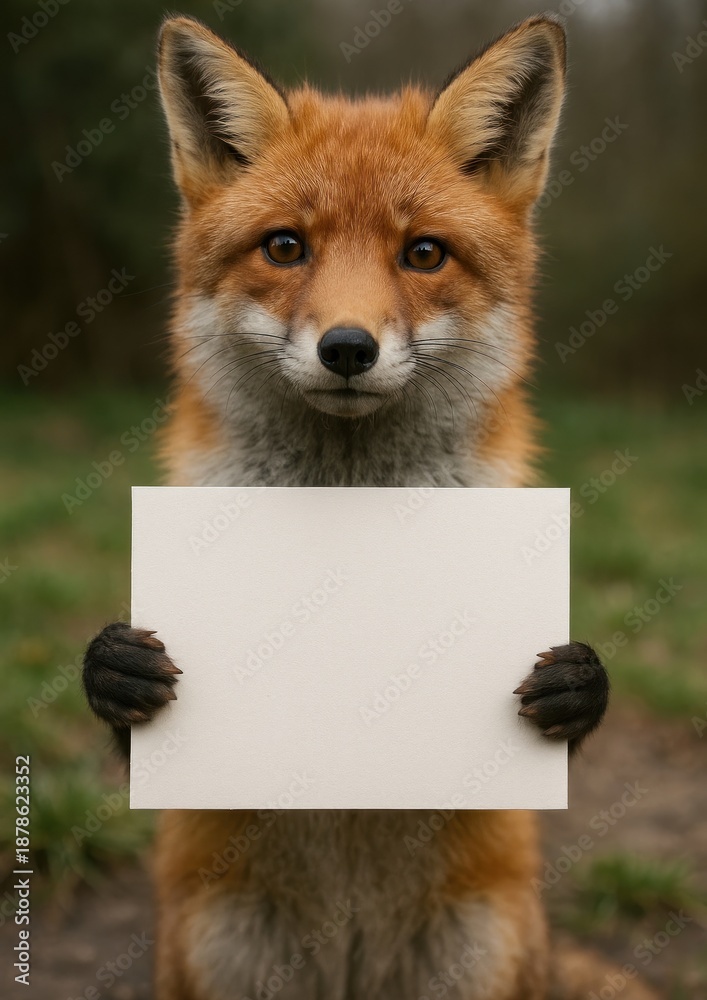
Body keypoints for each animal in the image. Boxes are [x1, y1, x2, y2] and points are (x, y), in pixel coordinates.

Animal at [82, 12, 659, 1000]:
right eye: (285, 247)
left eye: (422, 252)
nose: (347, 348)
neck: (347, 502)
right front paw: (116, 670)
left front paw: (575, 686)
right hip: (224, 949)